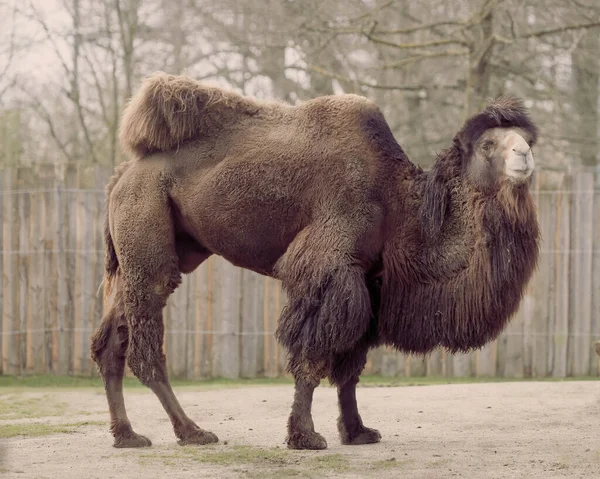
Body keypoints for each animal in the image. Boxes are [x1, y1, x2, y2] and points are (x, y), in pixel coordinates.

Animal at [89, 71, 540, 450]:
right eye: (488, 144)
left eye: (527, 140)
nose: (524, 157)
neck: (398, 202)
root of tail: (121, 175)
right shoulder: (328, 266)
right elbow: (314, 351)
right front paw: (305, 436)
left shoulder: (370, 281)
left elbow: (351, 364)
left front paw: (358, 432)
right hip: (147, 232)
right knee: (147, 340)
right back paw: (192, 431)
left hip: (156, 251)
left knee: (110, 341)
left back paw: (127, 435)